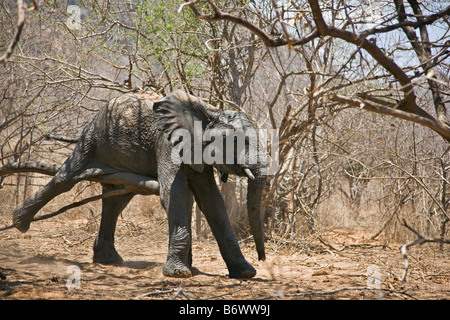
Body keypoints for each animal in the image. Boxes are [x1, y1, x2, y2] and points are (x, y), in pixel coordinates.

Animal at [12, 89, 268, 278]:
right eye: (237, 142)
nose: (263, 257)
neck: (209, 111)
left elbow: (211, 200)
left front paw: (245, 273)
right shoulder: (166, 142)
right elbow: (175, 193)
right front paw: (179, 273)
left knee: (116, 200)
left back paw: (109, 260)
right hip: (92, 138)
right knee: (66, 179)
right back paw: (19, 222)